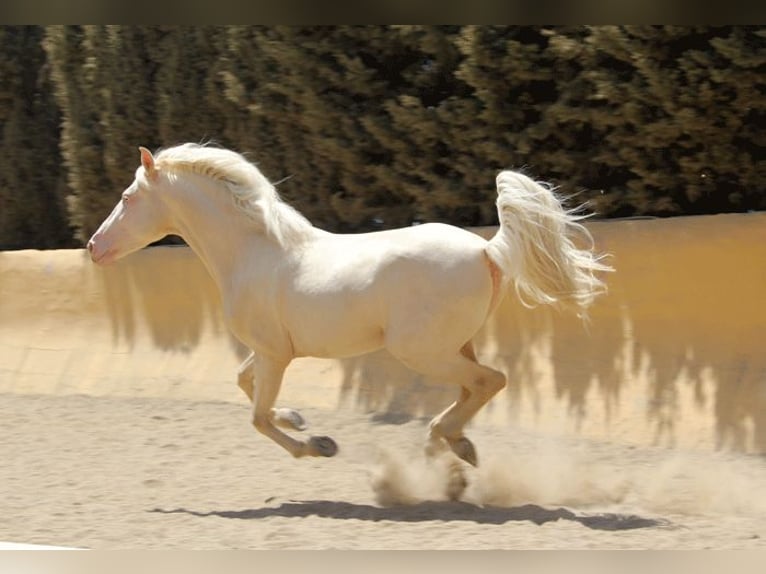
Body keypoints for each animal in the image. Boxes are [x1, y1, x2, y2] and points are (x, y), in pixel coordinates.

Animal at [87, 144, 616, 472]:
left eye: (127, 197)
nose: (93, 247)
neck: (254, 252)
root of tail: (487, 249)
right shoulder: (270, 350)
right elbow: (245, 385)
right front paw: (300, 420)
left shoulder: (275, 355)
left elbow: (257, 416)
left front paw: (318, 446)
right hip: (453, 345)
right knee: (475, 388)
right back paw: (454, 445)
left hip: (421, 351)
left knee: (490, 381)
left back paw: (446, 443)